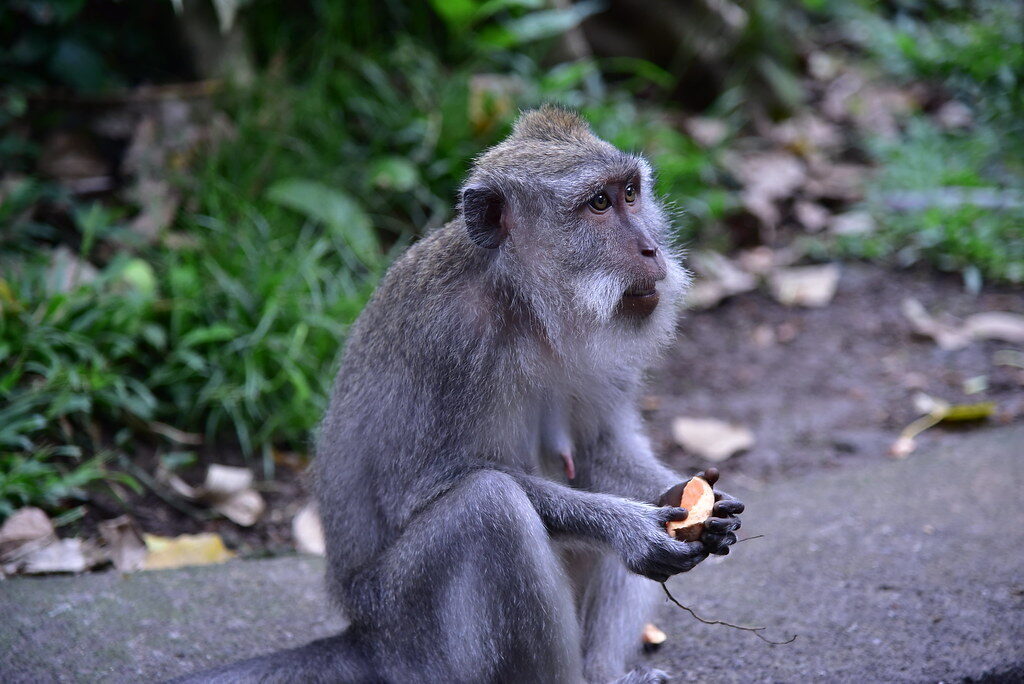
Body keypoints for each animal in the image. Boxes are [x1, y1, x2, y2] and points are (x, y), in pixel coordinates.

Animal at [178, 105, 744, 684]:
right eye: (599, 204)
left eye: (630, 193)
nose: (651, 248)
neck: (528, 307)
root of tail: (365, 639)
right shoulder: (451, 339)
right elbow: (424, 488)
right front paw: (630, 527)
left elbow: (599, 450)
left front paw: (691, 499)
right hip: (415, 637)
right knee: (489, 506)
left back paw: (605, 672)